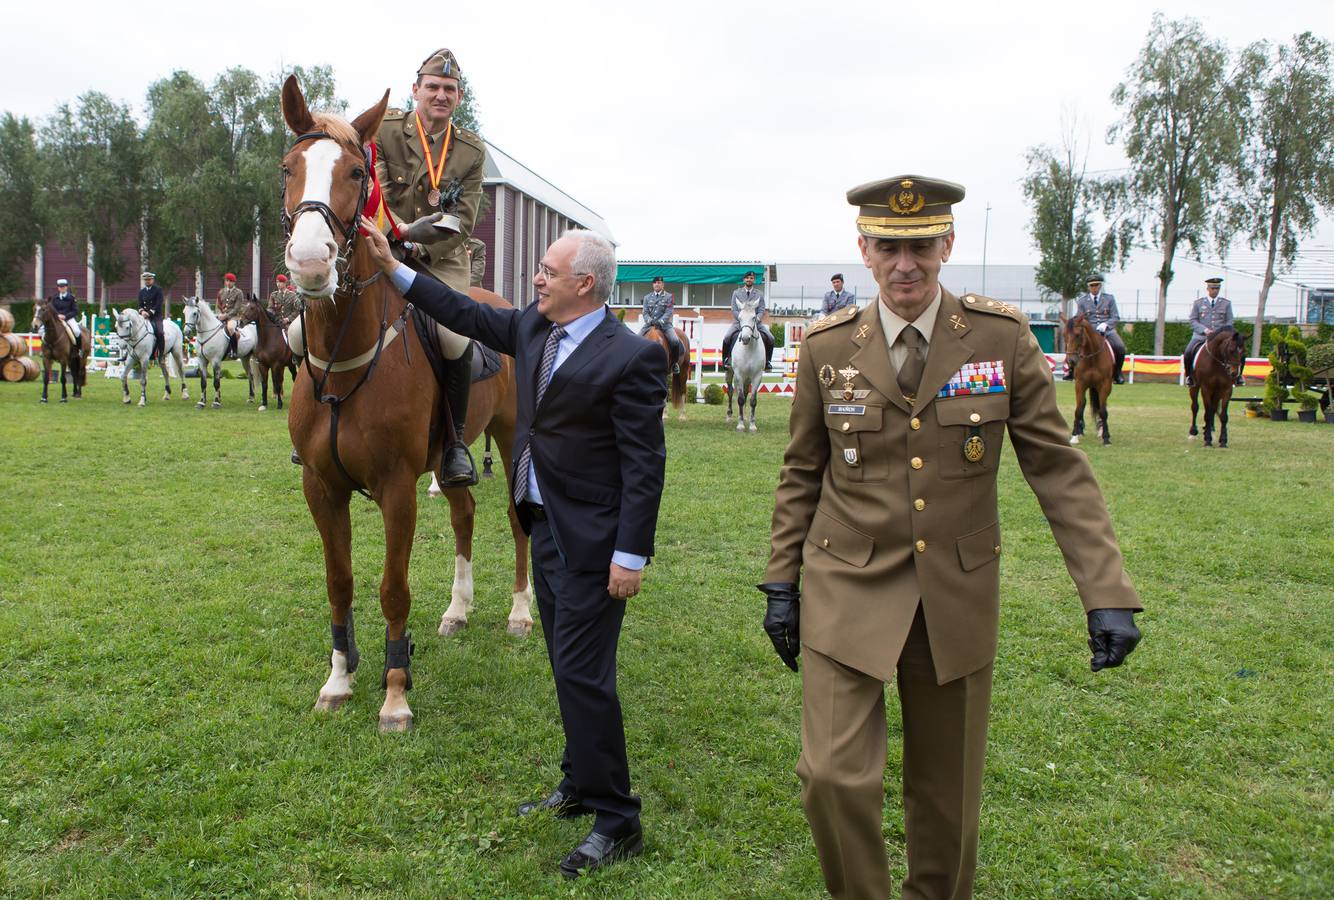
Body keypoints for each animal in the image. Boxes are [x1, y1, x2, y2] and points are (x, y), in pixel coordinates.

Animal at [278, 72, 528, 730]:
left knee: (516, 518)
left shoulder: (397, 487)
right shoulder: (321, 486)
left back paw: (520, 613)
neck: (346, 362)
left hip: (514, 436)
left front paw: (395, 693)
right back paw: (458, 610)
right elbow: (339, 583)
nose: (309, 262)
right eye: (288, 167)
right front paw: (339, 679)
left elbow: (393, 588)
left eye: (354, 173)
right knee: (465, 514)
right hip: (452, 455)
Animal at [725, 298, 768, 432]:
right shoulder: (739, 374)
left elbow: (752, 400)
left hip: (748, 378)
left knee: (745, 392)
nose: (745, 339)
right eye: (739, 317)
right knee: (730, 391)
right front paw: (740, 425)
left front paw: (752, 425)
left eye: (754, 317)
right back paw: (729, 415)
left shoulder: (757, 376)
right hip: (730, 373)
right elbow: (740, 399)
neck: (749, 349)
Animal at [1061, 313, 1115, 448]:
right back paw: (1080, 429)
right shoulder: (1080, 384)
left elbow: (1103, 411)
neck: (1092, 358)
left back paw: (1101, 431)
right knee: (1083, 404)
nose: (1071, 361)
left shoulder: (1105, 386)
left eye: (1077, 335)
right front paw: (1074, 436)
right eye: (1064, 335)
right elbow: (1078, 409)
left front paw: (1106, 438)